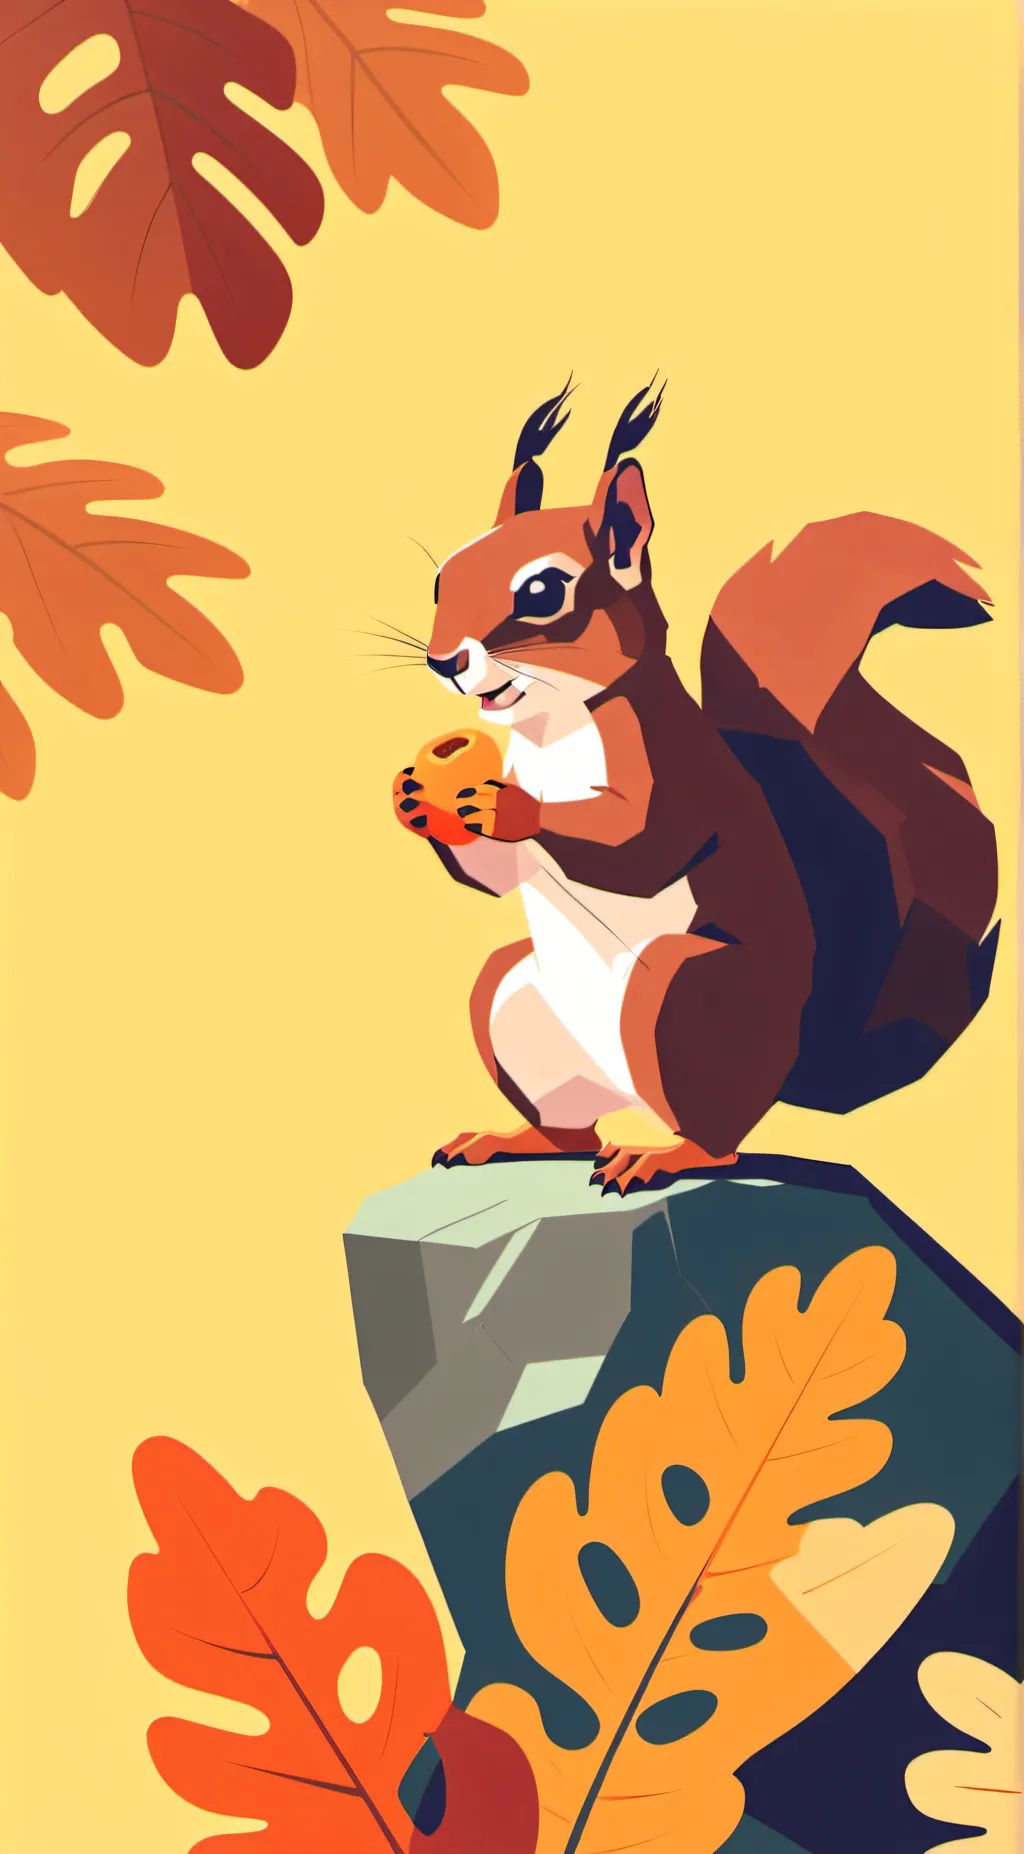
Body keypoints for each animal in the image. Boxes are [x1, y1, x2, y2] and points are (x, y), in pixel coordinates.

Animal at [393, 381, 999, 1195]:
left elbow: (641, 846)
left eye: (545, 590)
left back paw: (659, 1156)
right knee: (570, 1128)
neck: (553, 722)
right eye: (441, 580)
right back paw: (512, 1139)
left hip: (684, 1000)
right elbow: (498, 876)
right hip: (511, 1003)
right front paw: (415, 797)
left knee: (717, 1137)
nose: (443, 661)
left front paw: (504, 805)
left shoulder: (679, 775)